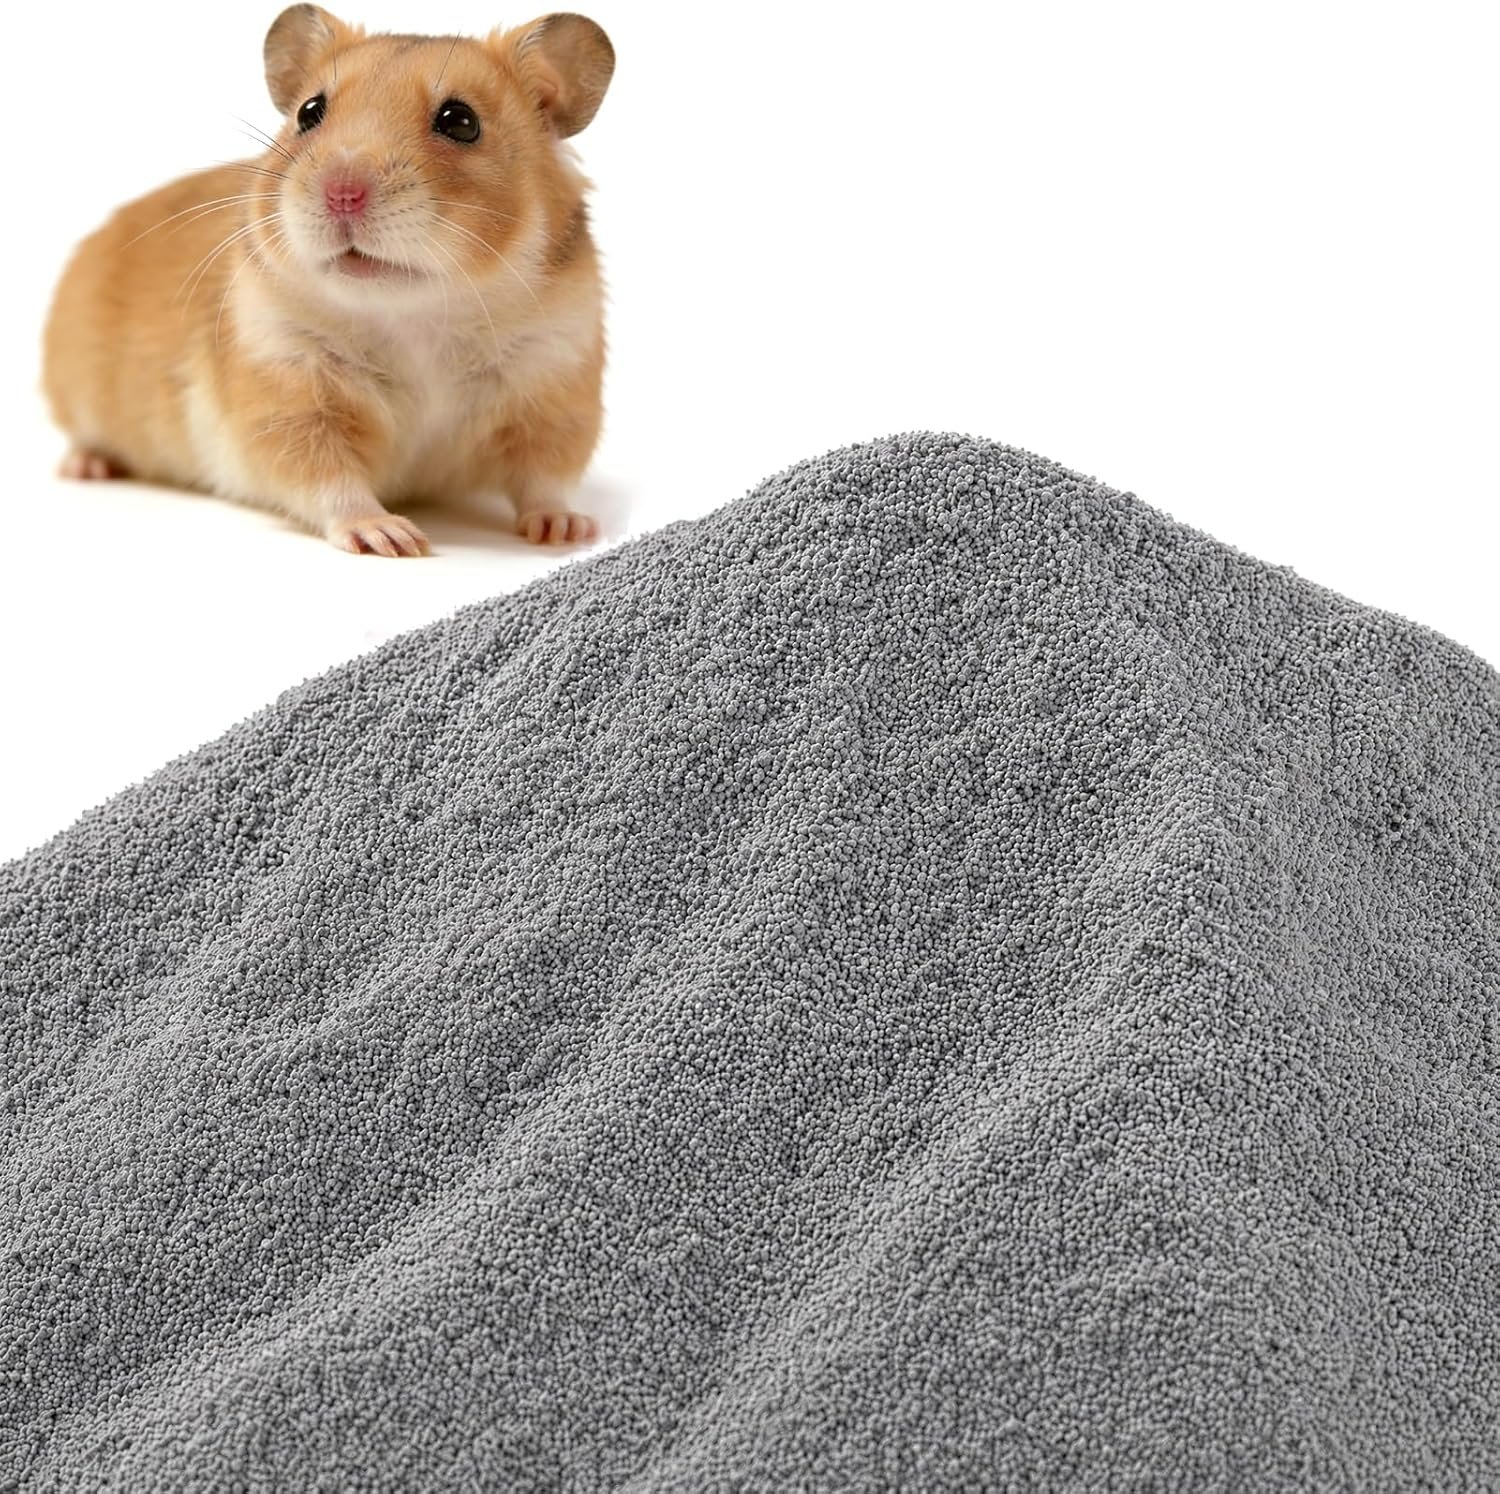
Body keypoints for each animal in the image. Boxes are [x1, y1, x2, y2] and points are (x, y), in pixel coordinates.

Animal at [43, 7, 615, 556]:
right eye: (309, 112)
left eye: (461, 121)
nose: (342, 193)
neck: (417, 315)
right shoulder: (286, 394)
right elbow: (328, 479)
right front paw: (391, 537)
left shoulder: (556, 383)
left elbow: (545, 477)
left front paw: (569, 531)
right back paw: (85, 467)